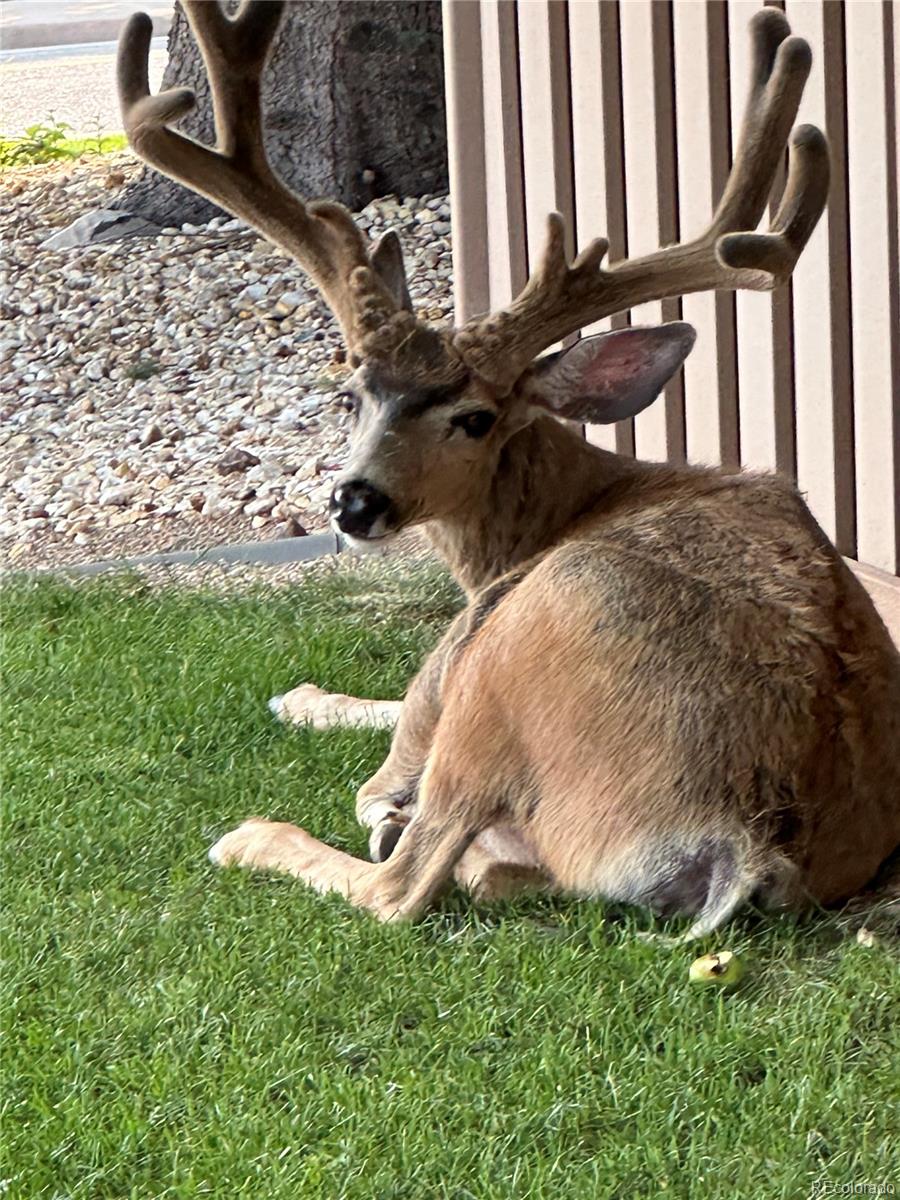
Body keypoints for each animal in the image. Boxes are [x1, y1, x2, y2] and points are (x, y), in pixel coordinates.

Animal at [120, 0, 900, 936]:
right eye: (351, 395)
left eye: (475, 418)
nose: (353, 503)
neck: (569, 504)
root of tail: (748, 841)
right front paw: (307, 697)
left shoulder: (456, 659)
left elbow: (389, 756)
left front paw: (311, 717)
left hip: (515, 656)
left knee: (407, 882)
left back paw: (264, 836)